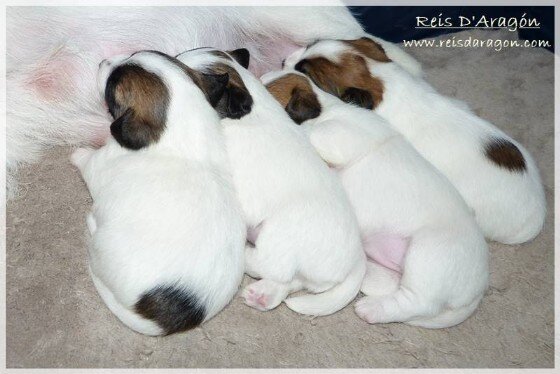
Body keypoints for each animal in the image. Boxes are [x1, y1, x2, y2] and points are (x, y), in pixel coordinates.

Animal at [70, 50, 245, 336]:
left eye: (111, 85)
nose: (102, 62)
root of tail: (163, 321)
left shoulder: (99, 163)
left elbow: (87, 159)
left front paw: (77, 153)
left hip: (101, 245)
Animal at [260, 70, 488, 328]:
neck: (326, 110)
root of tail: (478, 290)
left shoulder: (335, 138)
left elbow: (311, 133)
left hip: (428, 255)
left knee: (417, 302)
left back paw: (372, 309)